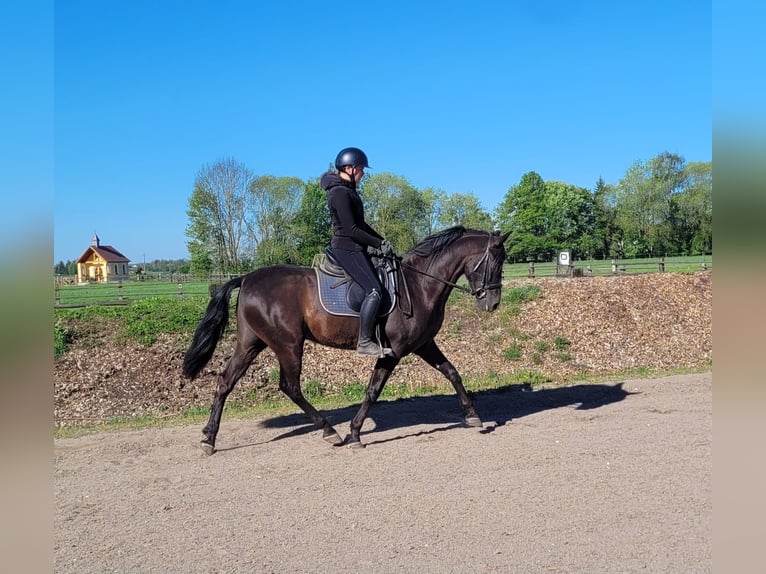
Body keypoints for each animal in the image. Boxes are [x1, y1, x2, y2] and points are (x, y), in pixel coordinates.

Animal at [182, 226, 510, 453]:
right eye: (495, 261)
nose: (492, 303)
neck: (419, 284)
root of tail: (247, 278)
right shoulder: (393, 352)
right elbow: (373, 391)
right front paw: (354, 434)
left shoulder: (423, 344)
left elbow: (452, 372)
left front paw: (473, 415)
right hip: (288, 345)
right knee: (290, 387)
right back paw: (330, 431)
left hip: (251, 343)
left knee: (226, 381)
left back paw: (209, 438)